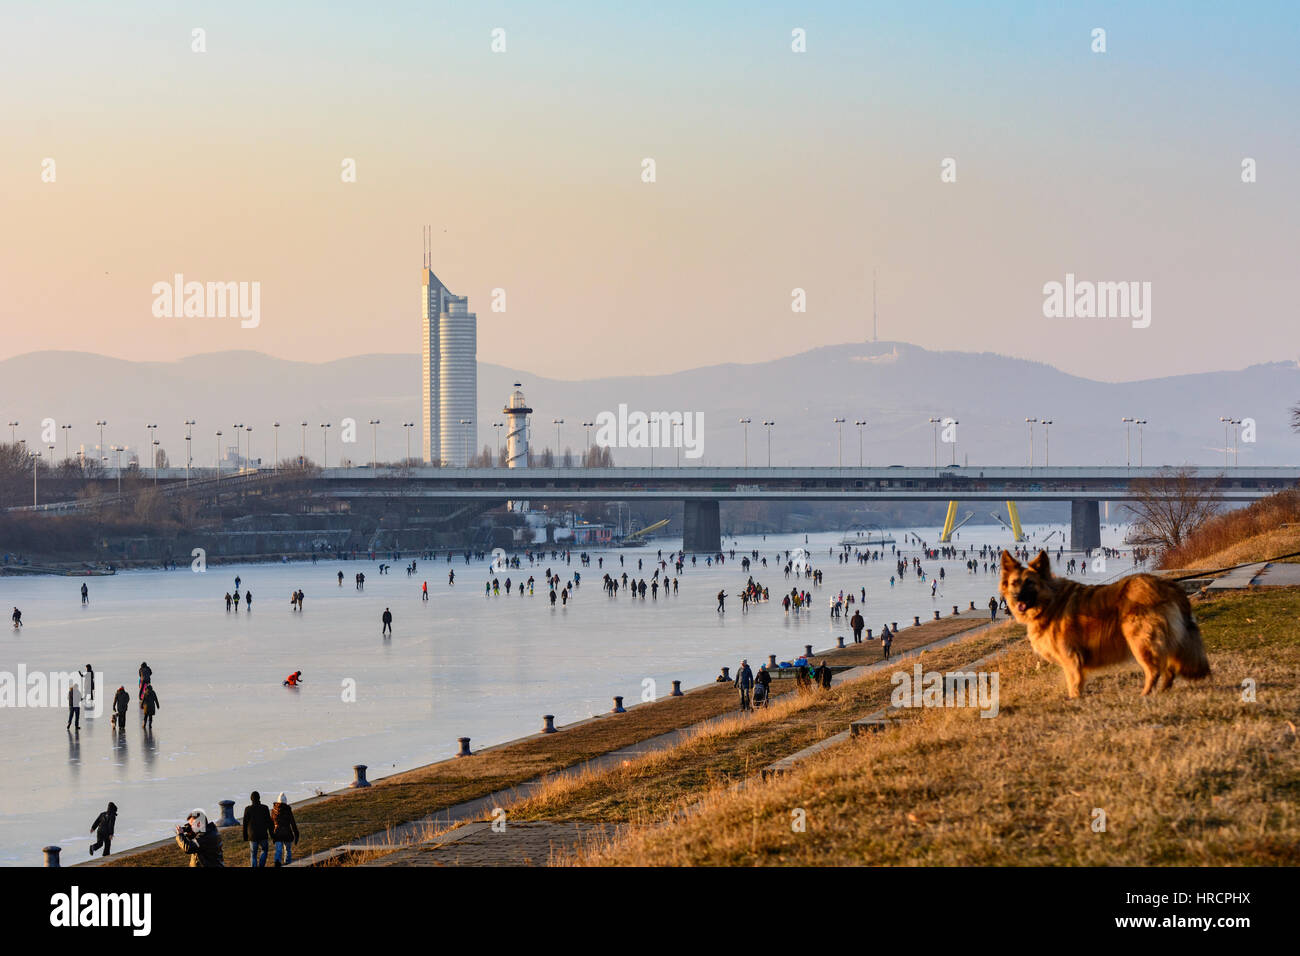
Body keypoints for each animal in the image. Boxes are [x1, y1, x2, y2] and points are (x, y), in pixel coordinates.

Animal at [998, 548, 1211, 697]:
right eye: (1014, 583)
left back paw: (1145, 695)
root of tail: (1169, 585)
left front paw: (1075, 700)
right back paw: (1161, 693)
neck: (1049, 601)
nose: (1016, 598)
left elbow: (1073, 684)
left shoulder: (1070, 658)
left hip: (1139, 641)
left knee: (1155, 670)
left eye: (1030, 583)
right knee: (1168, 670)